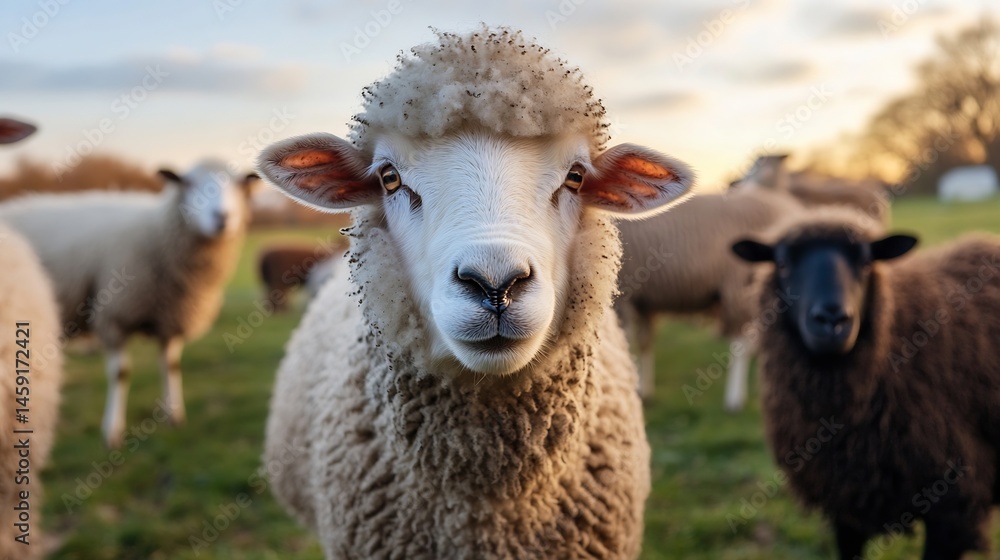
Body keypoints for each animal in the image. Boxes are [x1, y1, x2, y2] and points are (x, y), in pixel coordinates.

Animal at [0, 161, 258, 448]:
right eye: (188, 183)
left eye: (239, 185)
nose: (222, 218)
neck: (156, 233)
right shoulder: (114, 315)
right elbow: (120, 374)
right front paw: (112, 431)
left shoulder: (169, 317)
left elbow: (171, 367)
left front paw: (174, 417)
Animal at [616, 187, 803, 406]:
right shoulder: (645, 300)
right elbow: (645, 342)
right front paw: (644, 390)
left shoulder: (623, 295)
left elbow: (626, 345)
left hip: (740, 282)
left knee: (742, 343)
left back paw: (734, 399)